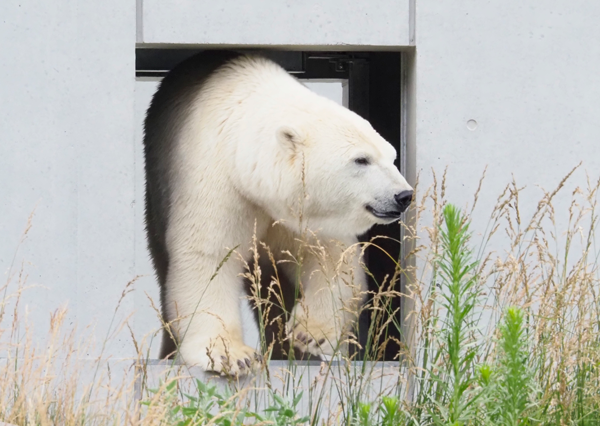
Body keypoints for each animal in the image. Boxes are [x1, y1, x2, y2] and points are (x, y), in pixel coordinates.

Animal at [142, 50, 412, 376]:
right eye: (361, 159)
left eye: (392, 156)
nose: (403, 196)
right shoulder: (217, 181)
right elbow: (208, 258)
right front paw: (232, 355)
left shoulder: (302, 214)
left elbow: (331, 259)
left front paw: (310, 332)